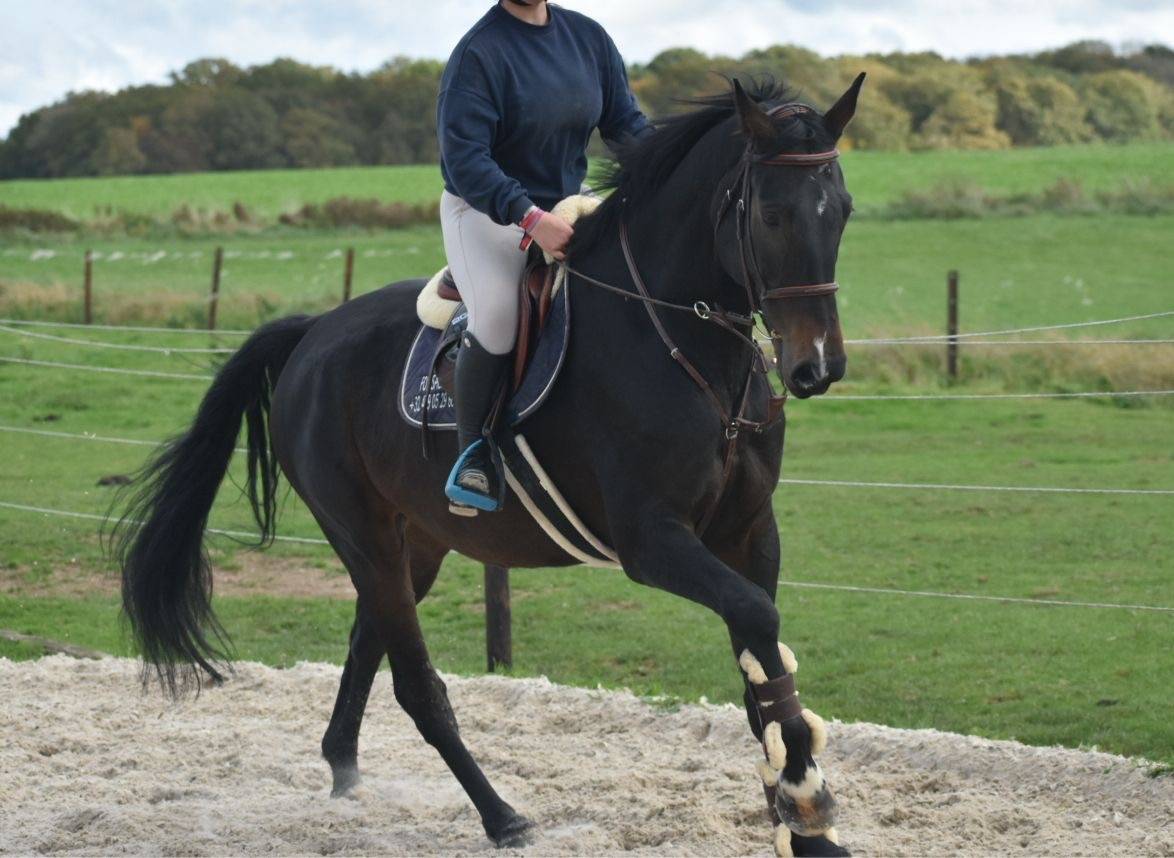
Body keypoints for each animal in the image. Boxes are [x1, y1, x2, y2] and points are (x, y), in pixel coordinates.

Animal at [116, 74, 864, 858]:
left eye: (841, 211)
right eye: (773, 215)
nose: (817, 367)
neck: (680, 344)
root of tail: (314, 332)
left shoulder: (748, 532)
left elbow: (761, 663)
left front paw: (803, 823)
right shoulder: (652, 540)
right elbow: (757, 621)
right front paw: (805, 795)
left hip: (415, 543)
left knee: (367, 641)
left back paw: (345, 771)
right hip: (363, 536)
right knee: (415, 685)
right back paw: (501, 816)